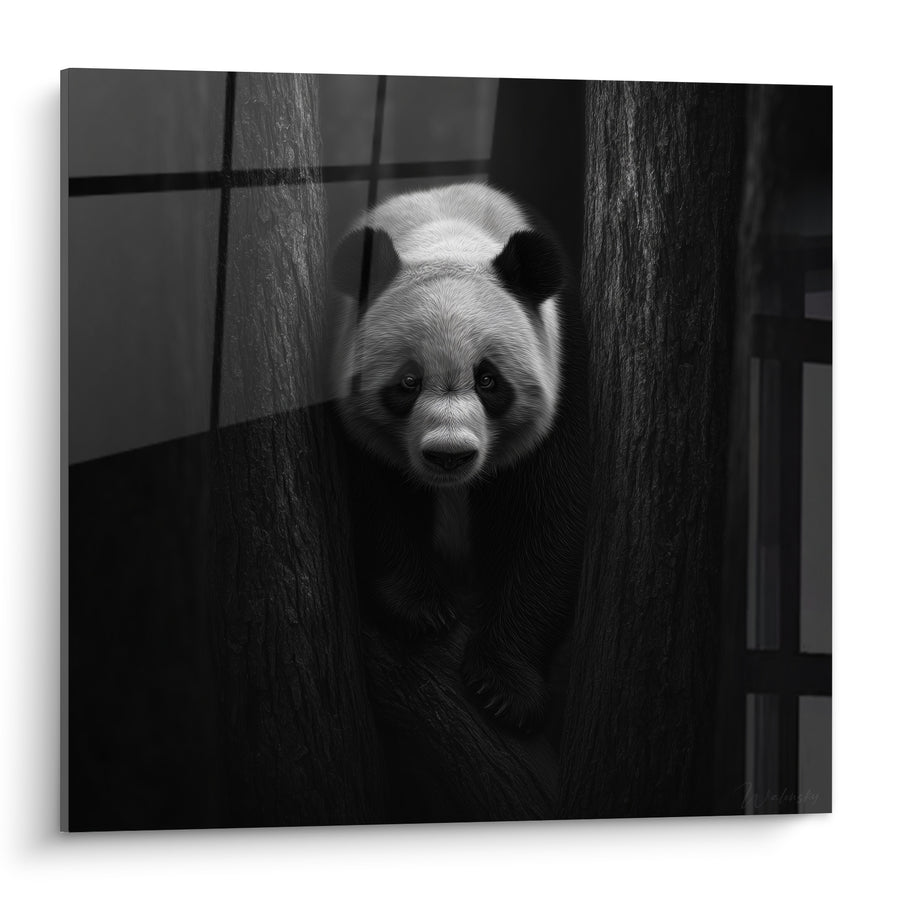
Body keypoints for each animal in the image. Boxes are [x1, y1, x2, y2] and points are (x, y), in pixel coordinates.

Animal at [328, 183, 588, 733]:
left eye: (488, 380)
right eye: (408, 382)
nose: (449, 456)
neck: (446, 235)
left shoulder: (566, 363)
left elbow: (546, 513)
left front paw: (504, 687)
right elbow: (372, 491)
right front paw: (421, 608)